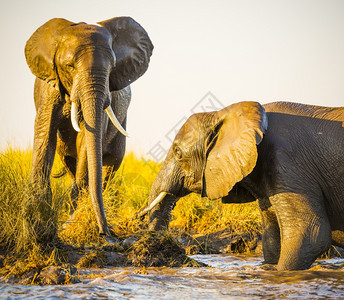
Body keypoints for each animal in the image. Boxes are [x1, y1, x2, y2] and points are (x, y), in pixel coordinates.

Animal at [25, 17, 155, 239]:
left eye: (113, 68)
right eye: (69, 66)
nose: (105, 233)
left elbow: (87, 139)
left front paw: (70, 223)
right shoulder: (47, 89)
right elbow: (45, 135)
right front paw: (38, 215)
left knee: (111, 163)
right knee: (70, 161)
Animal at [139, 101, 344, 272]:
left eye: (178, 153)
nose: (159, 244)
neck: (225, 113)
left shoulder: (287, 162)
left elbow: (310, 234)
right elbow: (272, 240)